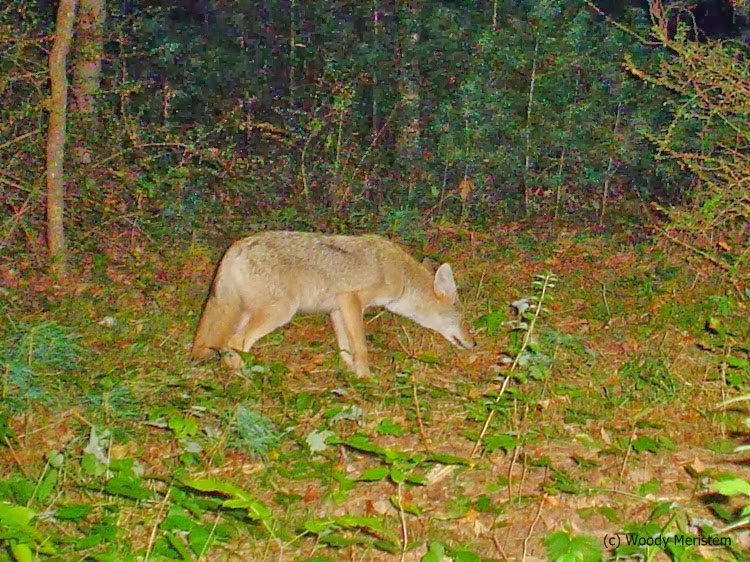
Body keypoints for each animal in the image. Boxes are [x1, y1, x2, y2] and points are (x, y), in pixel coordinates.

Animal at [191, 231, 475, 377]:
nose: (473, 344)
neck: (402, 277)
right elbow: (361, 347)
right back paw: (246, 377)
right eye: (463, 319)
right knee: (235, 343)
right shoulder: (351, 300)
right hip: (278, 313)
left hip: (244, 314)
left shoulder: (338, 309)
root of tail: (237, 246)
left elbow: (346, 348)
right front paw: (366, 378)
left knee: (225, 344)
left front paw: (349, 372)